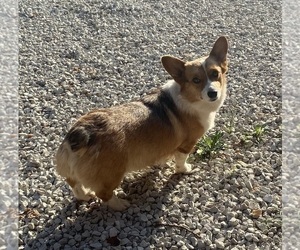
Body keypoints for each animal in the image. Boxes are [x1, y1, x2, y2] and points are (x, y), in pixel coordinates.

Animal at [56, 35, 229, 211]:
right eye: (196, 80)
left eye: (215, 73)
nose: (213, 93)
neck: (188, 98)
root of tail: (81, 134)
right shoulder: (187, 144)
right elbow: (181, 160)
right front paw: (185, 169)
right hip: (112, 174)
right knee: (103, 194)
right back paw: (121, 204)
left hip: (75, 174)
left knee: (75, 186)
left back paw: (85, 196)